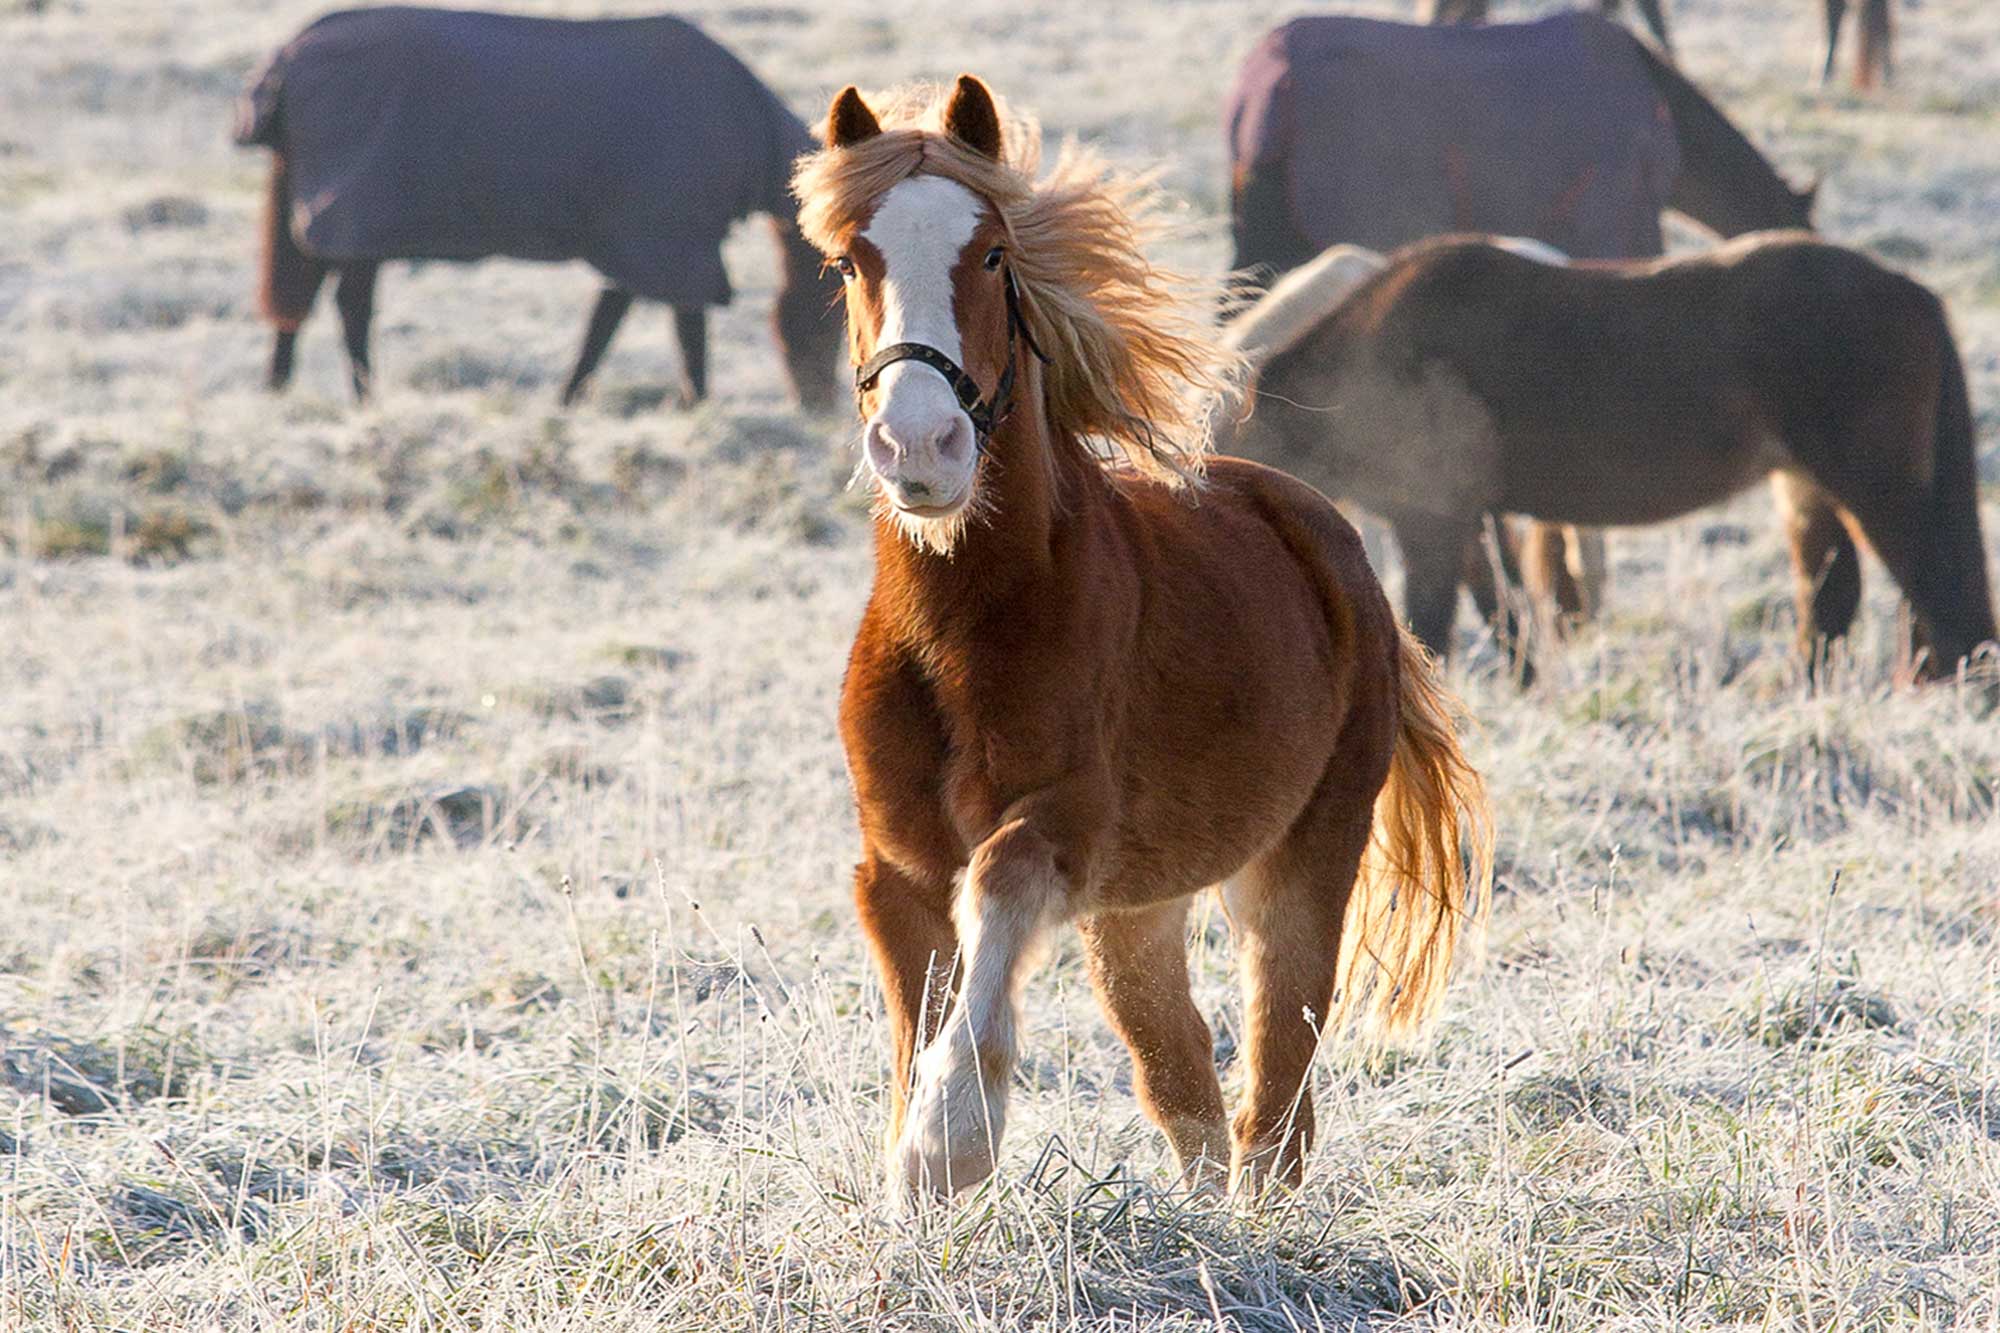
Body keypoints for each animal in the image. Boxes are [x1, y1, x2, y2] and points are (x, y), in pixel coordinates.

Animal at [236, 7, 844, 408]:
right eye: (834, 319)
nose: (820, 404)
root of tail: (287, 58)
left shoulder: (640, 247)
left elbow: (604, 326)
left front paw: (570, 398)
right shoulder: (667, 242)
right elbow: (679, 326)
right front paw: (695, 401)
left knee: (297, 293)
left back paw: (278, 387)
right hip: (357, 223)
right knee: (349, 307)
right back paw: (363, 395)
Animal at [788, 80, 1496, 1192]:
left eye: (991, 255)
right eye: (850, 261)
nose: (920, 446)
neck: (959, 631)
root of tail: (1323, 532)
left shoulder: (1062, 824)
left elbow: (998, 887)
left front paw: (951, 1139)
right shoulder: (894, 871)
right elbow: (915, 1027)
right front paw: (915, 1180)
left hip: (1300, 865)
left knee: (1275, 1093)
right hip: (1136, 912)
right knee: (1183, 1077)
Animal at [1216, 230, 2000, 680]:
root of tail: (1911, 291)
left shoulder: (1430, 517)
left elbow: (1433, 627)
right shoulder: (1458, 517)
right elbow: (1501, 614)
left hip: (1878, 490)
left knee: (1945, 606)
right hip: (1809, 488)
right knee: (1836, 601)